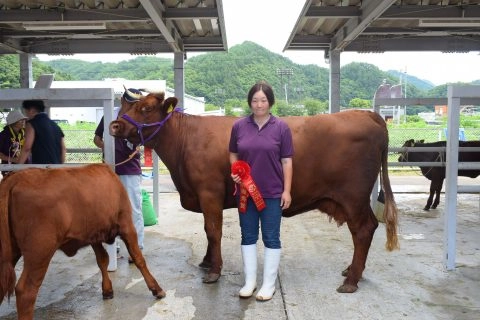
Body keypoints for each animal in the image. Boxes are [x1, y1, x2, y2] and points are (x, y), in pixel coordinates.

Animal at [0, 164, 165, 318]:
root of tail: (15, 177)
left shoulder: (93, 234)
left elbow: (103, 259)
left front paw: (107, 290)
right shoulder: (126, 225)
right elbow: (138, 258)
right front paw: (156, 289)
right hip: (40, 252)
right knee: (26, 291)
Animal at [109, 92, 398, 292]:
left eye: (145, 108)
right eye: (126, 107)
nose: (114, 126)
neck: (184, 142)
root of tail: (367, 115)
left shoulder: (209, 193)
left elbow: (213, 230)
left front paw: (214, 271)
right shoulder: (204, 197)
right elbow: (207, 229)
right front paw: (206, 261)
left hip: (353, 197)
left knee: (364, 229)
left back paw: (352, 280)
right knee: (365, 229)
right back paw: (352, 271)